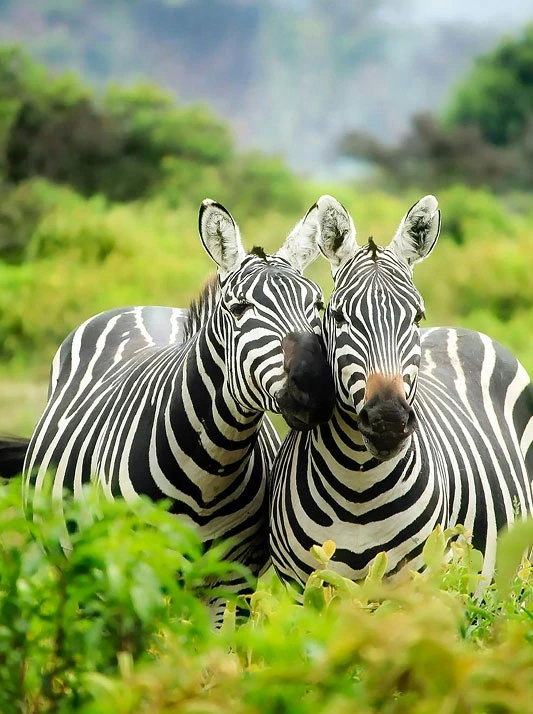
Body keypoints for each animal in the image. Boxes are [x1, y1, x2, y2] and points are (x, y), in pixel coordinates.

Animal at [21, 198, 335, 616]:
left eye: (317, 305)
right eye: (239, 309)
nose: (316, 387)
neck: (211, 467)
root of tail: (144, 306)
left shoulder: (233, 581)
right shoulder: (131, 570)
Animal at [270, 193, 533, 591]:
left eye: (416, 317)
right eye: (339, 316)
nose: (388, 420)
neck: (358, 486)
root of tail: (462, 330)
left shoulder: (416, 585)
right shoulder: (301, 588)